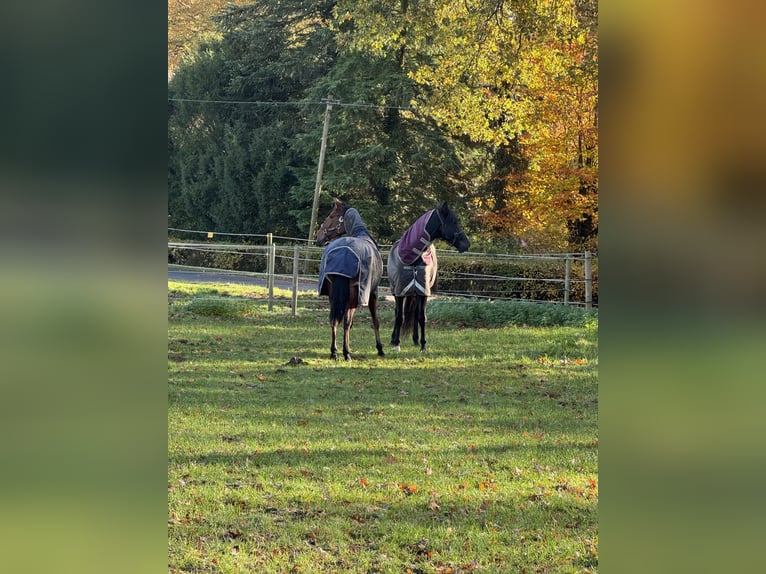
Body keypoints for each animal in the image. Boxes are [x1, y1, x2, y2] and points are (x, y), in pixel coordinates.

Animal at [315, 199, 385, 361]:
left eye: (331, 216)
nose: (318, 236)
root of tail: (343, 253)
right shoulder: (372, 293)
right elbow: (375, 321)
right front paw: (380, 348)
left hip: (333, 295)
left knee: (333, 320)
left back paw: (334, 352)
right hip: (352, 297)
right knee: (346, 321)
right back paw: (346, 353)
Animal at [387, 201, 470, 353]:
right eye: (454, 221)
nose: (467, 244)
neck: (413, 259)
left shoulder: (423, 291)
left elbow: (422, 317)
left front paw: (423, 345)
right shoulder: (400, 291)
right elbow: (399, 317)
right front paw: (396, 343)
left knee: (415, 314)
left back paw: (415, 339)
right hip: (396, 290)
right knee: (397, 313)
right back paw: (394, 338)